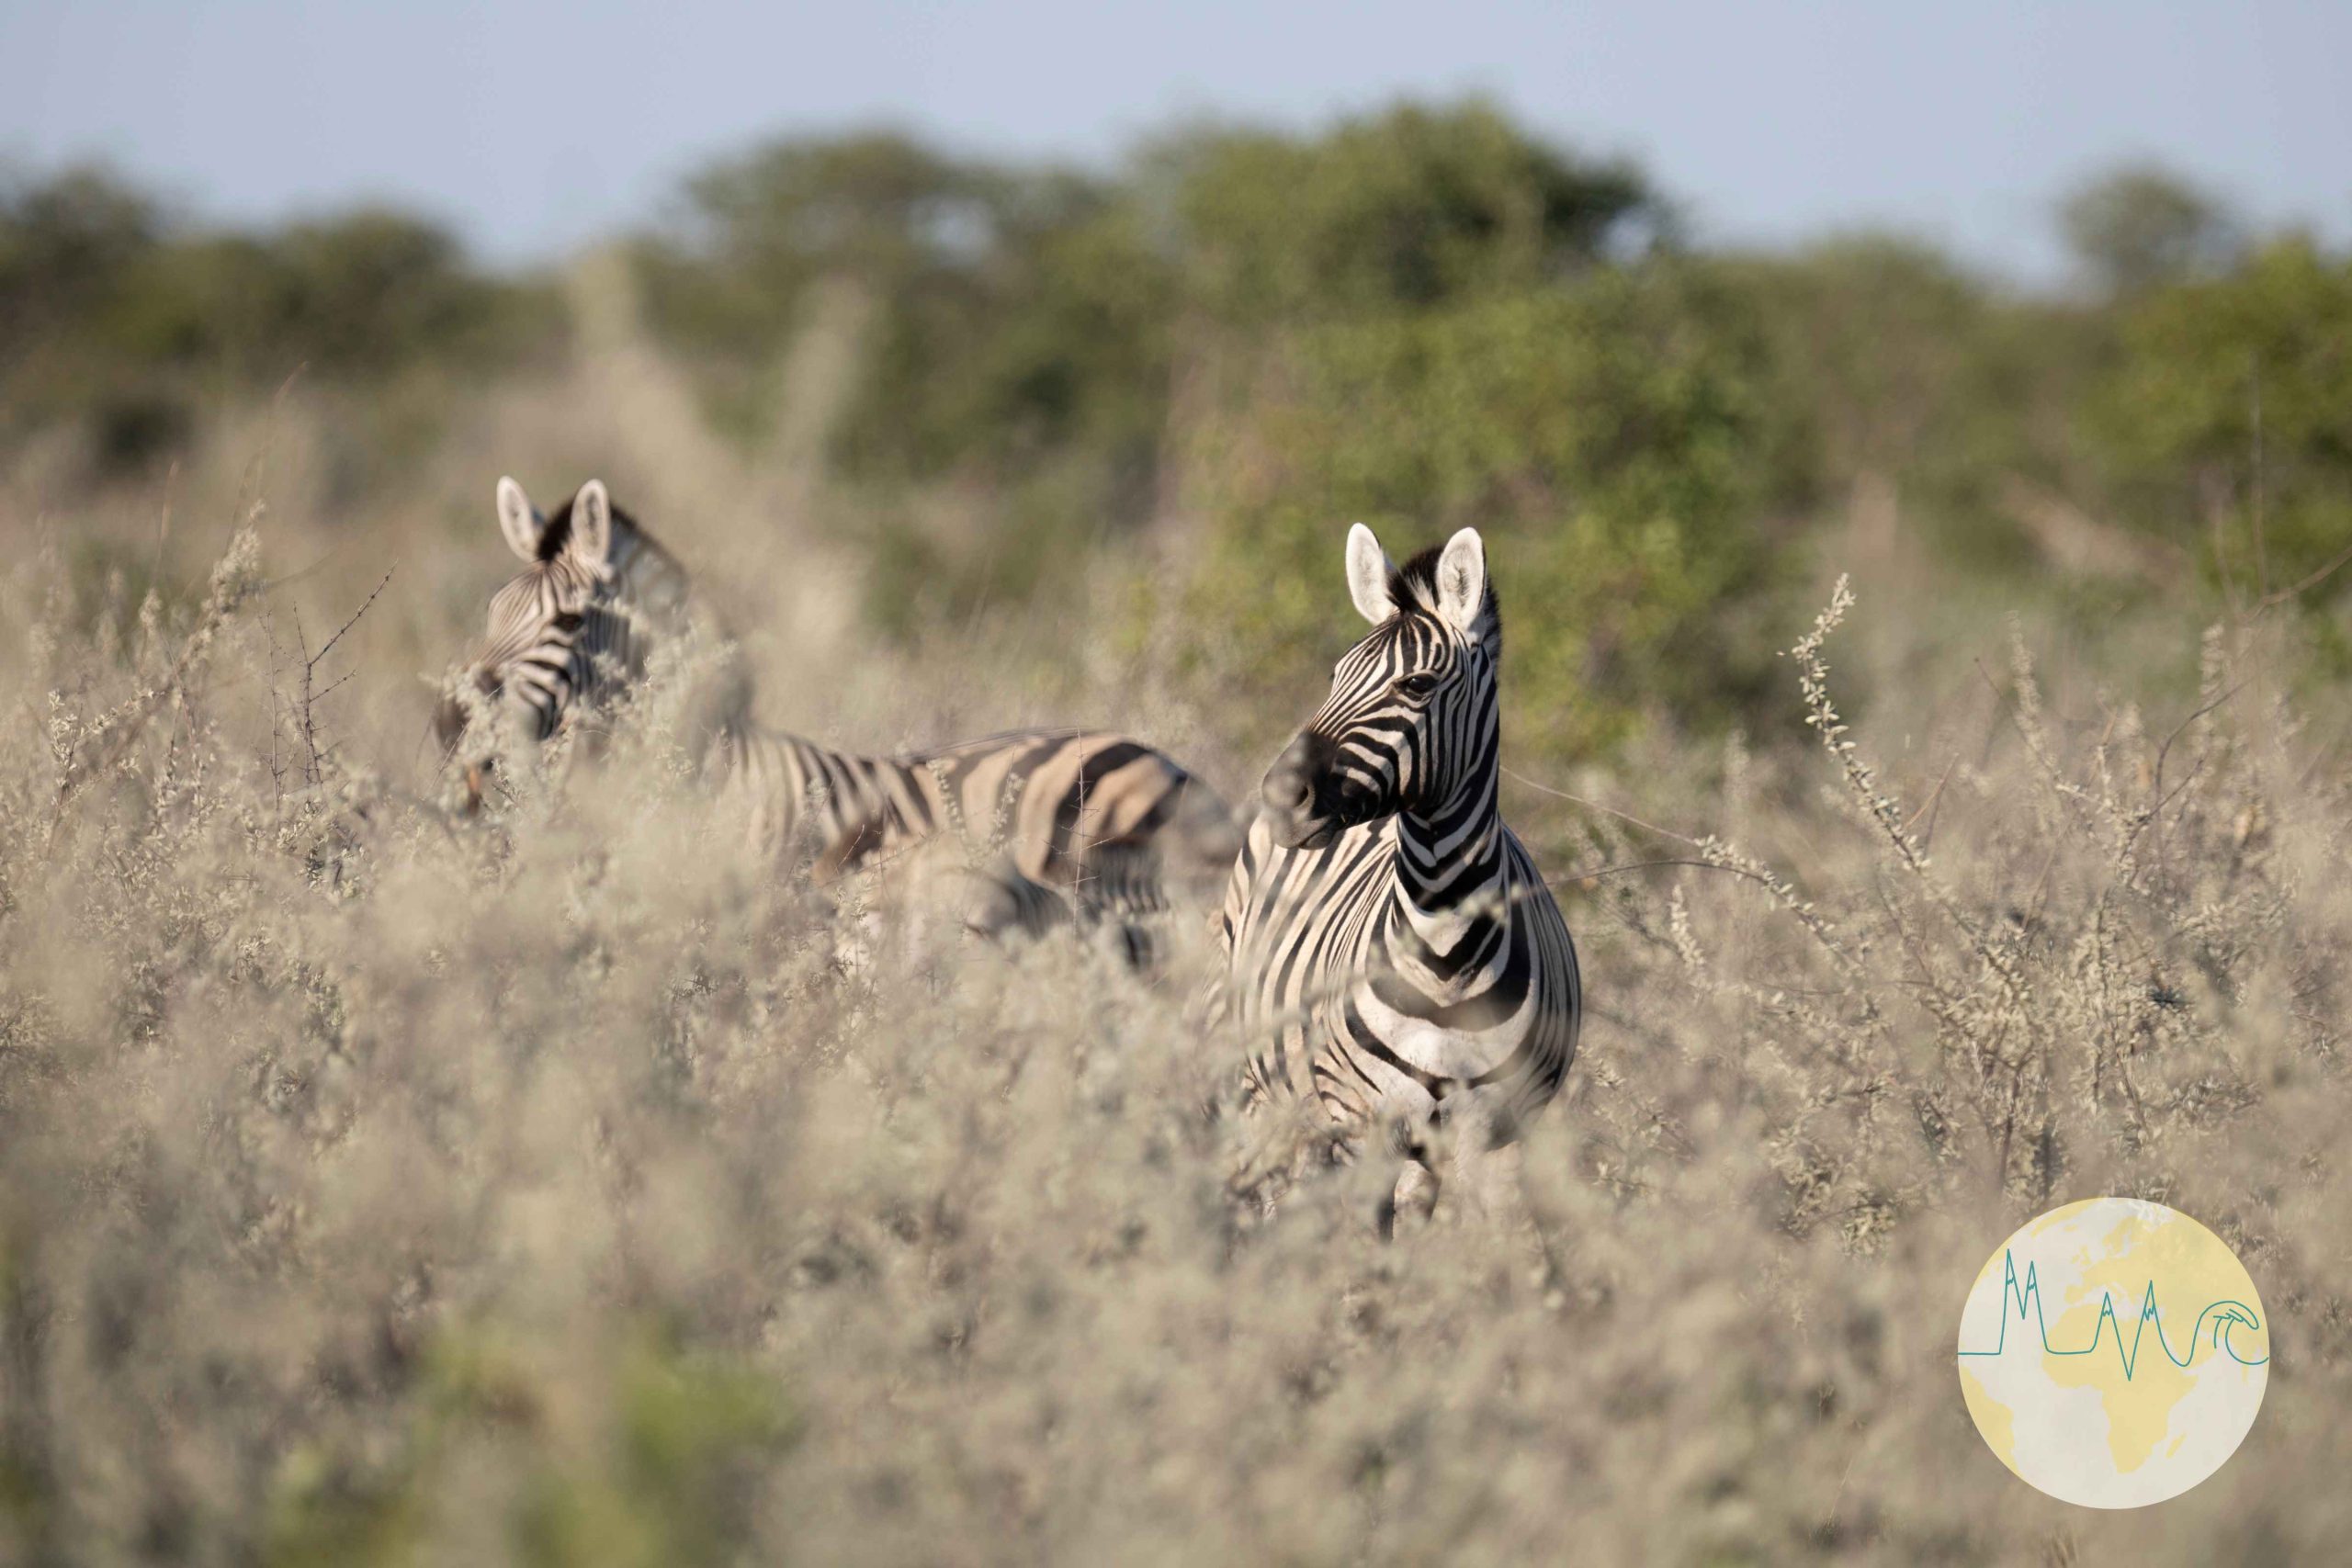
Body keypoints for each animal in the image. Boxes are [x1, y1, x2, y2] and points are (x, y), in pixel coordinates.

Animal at [1203, 523, 1580, 1231]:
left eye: (1416, 686)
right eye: (1334, 677)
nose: (1280, 796)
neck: (1444, 952)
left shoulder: (1497, 1136)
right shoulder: (1364, 1127)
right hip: (1264, 1088)